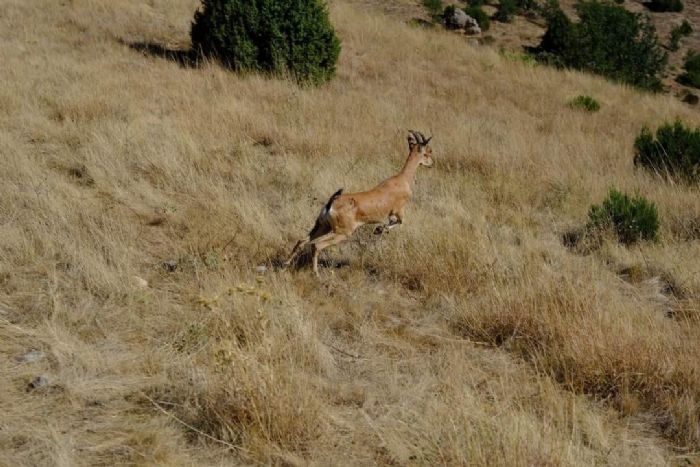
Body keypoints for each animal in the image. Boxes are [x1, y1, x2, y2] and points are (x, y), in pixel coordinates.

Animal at [284, 130, 432, 276]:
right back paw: (316, 274)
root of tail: (331, 203)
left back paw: (286, 264)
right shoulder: (398, 211)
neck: (402, 180)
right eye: (427, 151)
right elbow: (399, 222)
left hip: (322, 227)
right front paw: (379, 229)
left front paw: (378, 229)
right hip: (341, 233)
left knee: (302, 241)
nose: (431, 163)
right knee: (316, 245)